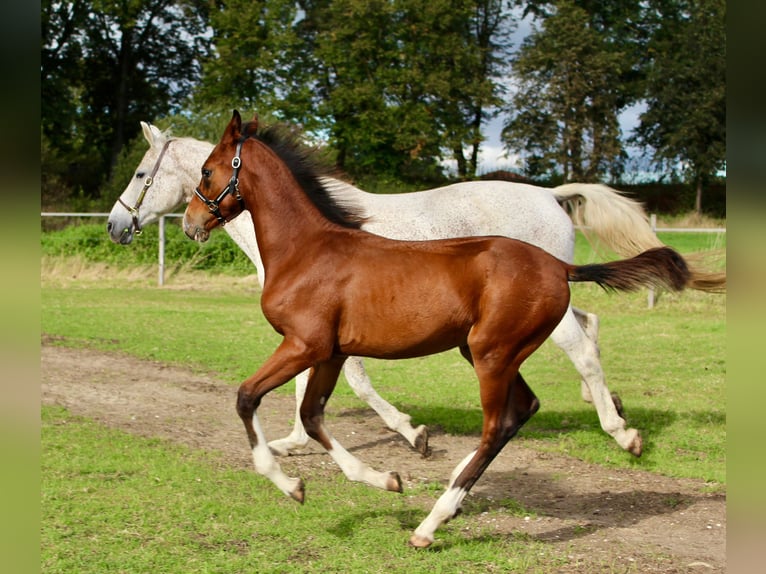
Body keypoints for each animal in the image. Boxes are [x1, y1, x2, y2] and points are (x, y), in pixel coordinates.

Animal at [106, 121, 728, 460]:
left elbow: (354, 380)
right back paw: (609, 408)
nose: (115, 226)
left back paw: (621, 433)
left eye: (140, 174)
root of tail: (550, 194)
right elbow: (315, 381)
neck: (308, 233)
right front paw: (294, 441)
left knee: (581, 348)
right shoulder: (317, 331)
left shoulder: (326, 329)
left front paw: (413, 434)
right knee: (590, 332)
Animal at [183, 112, 692, 548]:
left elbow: (247, 397)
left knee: (499, 424)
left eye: (206, 171)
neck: (306, 250)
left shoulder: (304, 345)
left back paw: (433, 522)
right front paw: (387, 478)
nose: (190, 223)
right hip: (488, 351)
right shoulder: (331, 352)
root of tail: (560, 267)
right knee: (524, 409)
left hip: (491, 353)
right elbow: (311, 416)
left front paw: (291, 486)